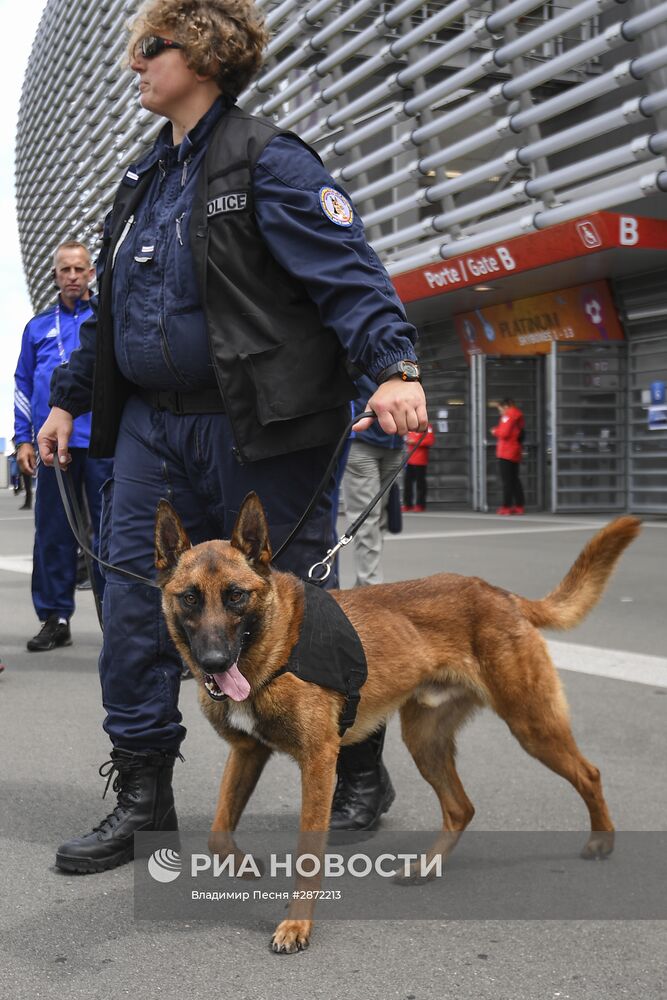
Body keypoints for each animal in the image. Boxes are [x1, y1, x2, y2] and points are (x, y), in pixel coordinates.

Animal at [155, 496, 640, 956]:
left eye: (236, 596)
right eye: (190, 598)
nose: (214, 663)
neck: (276, 648)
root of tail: (499, 593)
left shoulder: (318, 762)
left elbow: (307, 855)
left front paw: (296, 925)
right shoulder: (248, 753)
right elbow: (218, 835)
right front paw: (242, 867)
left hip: (531, 724)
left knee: (589, 773)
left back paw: (601, 843)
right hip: (426, 742)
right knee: (461, 808)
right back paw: (426, 868)